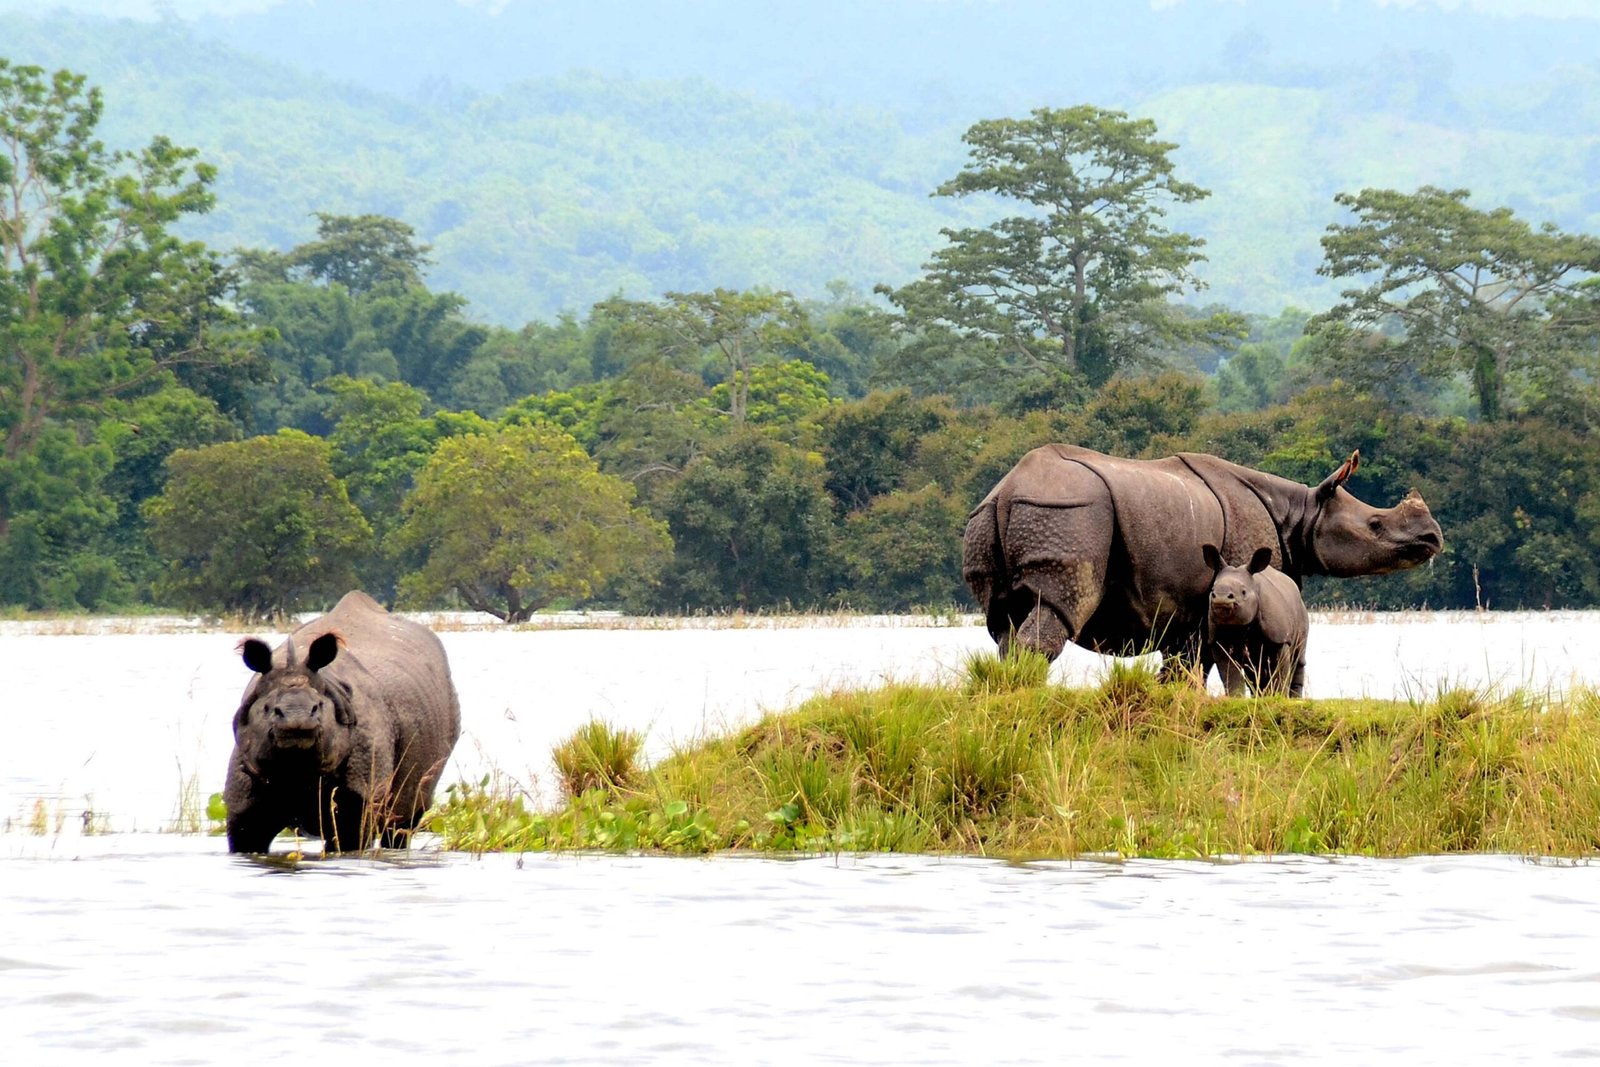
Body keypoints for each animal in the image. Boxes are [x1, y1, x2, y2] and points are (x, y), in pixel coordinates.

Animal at [219, 588, 460, 857]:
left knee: (401, 823)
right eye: (269, 709)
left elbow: (349, 834)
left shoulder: (362, 791)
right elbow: (247, 834)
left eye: (319, 706)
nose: (296, 719)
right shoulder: (244, 793)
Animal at [966, 447, 1446, 671]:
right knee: (1061, 606)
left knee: (1003, 621)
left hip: (992, 518)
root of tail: (1007, 490)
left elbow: (1182, 666)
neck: (1300, 513)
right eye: (1375, 525)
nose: (1433, 538)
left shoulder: (1186, 610)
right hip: (1069, 512)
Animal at [1203, 547, 1305, 697]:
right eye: (1212, 591)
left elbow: (1280, 673)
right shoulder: (1217, 639)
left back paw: (1294, 698)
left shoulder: (1280, 638)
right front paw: (1236, 697)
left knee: (1298, 658)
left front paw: (1278, 696)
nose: (1221, 599)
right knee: (1254, 669)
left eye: (1243, 592)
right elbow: (1229, 674)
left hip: (1301, 610)